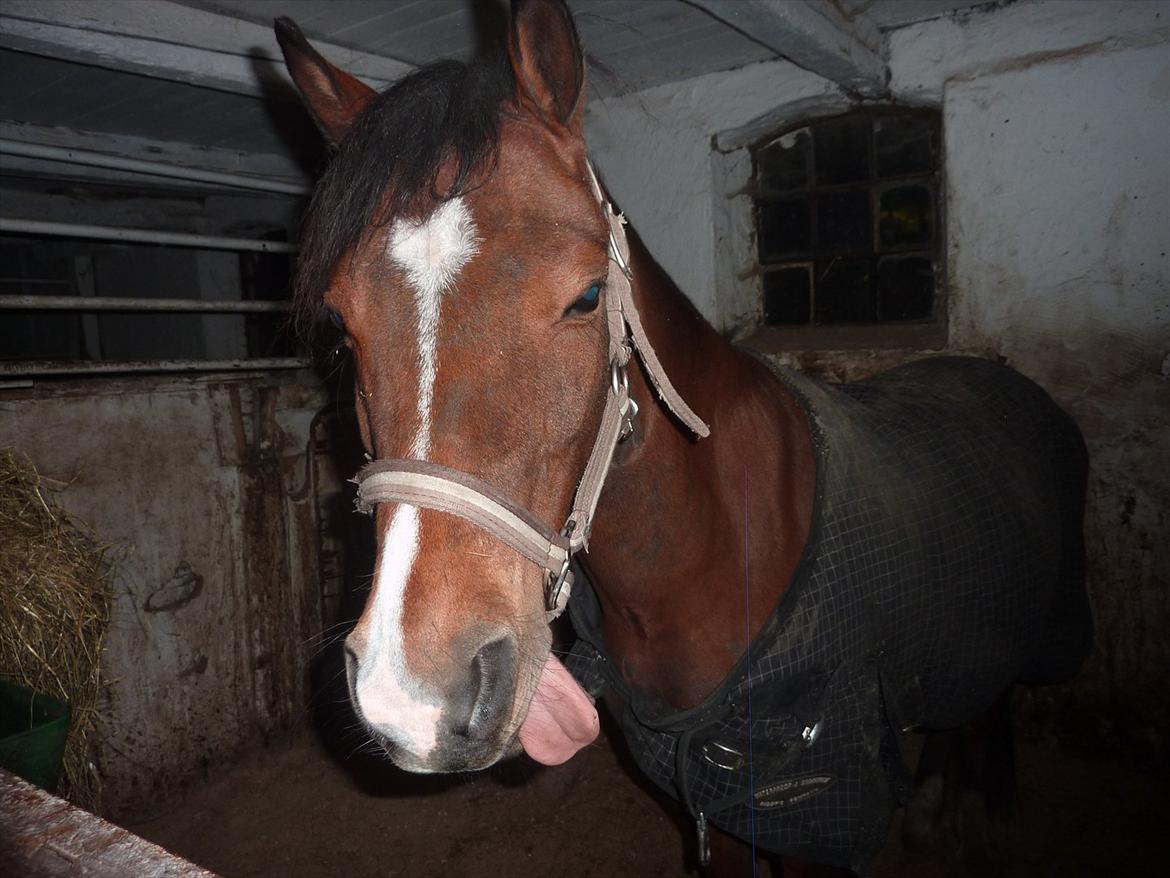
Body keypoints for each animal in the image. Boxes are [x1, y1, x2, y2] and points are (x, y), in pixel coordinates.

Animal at [274, 1, 1093, 874]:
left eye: (587, 296)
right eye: (341, 324)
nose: (414, 693)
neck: (710, 552)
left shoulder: (812, 815)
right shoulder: (709, 799)